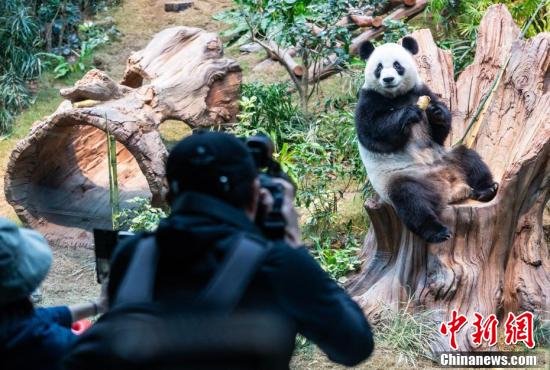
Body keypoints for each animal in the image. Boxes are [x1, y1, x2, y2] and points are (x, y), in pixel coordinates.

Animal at [356, 36, 502, 241]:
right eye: (378, 68)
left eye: (397, 65)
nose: (388, 79)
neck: (396, 96)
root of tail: (451, 189)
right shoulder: (368, 100)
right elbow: (373, 134)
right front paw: (407, 114)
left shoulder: (421, 90)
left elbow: (439, 133)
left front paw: (436, 112)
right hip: (401, 179)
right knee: (411, 200)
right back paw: (437, 231)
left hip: (447, 159)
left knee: (469, 159)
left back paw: (486, 189)